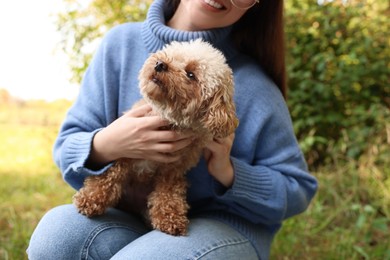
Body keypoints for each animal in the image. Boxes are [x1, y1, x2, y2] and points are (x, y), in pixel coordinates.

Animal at [72, 38, 238, 236]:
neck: (169, 121)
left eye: (191, 74)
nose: (160, 64)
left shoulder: (173, 170)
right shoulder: (124, 151)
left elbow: (168, 194)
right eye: (172, 54)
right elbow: (108, 176)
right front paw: (90, 199)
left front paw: (170, 218)